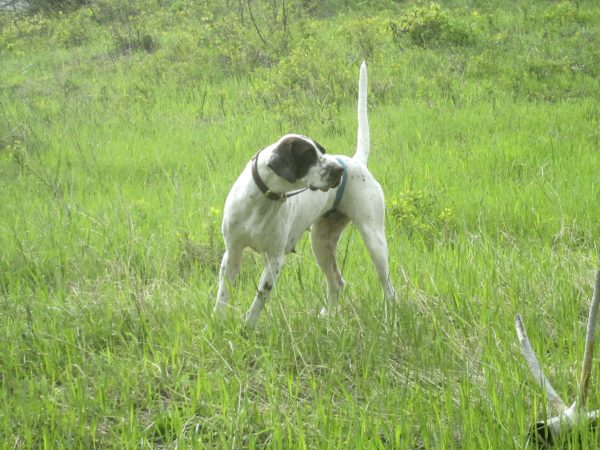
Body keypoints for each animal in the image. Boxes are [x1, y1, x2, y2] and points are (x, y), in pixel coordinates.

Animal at [214, 61, 394, 326]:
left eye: (323, 152)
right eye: (309, 155)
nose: (338, 170)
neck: (260, 201)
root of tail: (356, 161)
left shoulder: (275, 260)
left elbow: (259, 299)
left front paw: (248, 327)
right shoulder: (233, 253)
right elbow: (223, 297)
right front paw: (217, 323)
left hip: (374, 240)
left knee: (388, 288)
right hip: (321, 243)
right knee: (336, 282)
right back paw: (330, 318)